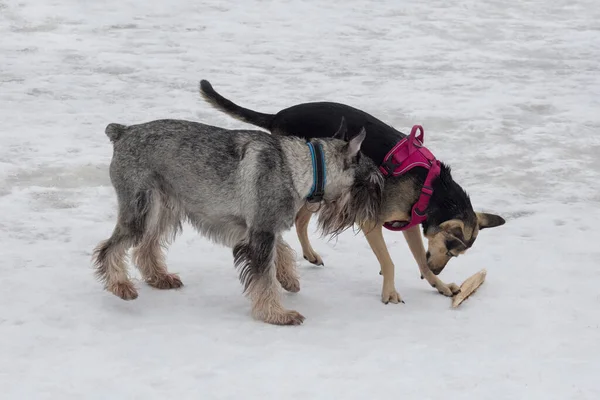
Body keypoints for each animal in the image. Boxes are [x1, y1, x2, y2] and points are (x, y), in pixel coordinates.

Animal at [94, 116, 384, 324]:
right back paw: (120, 285)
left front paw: (288, 278)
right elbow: (264, 277)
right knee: (110, 248)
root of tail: (123, 132)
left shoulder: (261, 227)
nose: (377, 212)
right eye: (372, 181)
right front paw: (277, 314)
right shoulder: (262, 232)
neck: (305, 167)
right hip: (140, 210)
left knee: (146, 246)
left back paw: (159, 278)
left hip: (166, 209)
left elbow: (281, 250)